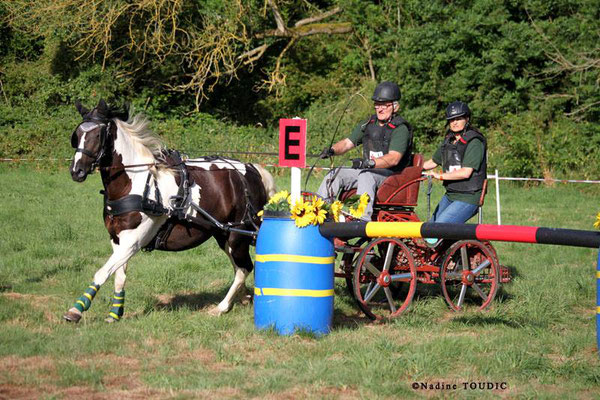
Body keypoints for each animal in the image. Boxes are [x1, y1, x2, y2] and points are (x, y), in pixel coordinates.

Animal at [62, 99, 274, 322]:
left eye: (97, 135)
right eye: (77, 135)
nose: (76, 171)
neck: (136, 183)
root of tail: (251, 169)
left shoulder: (133, 241)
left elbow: (102, 272)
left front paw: (76, 310)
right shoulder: (117, 240)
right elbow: (119, 276)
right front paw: (115, 312)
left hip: (237, 235)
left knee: (244, 268)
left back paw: (222, 307)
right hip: (223, 234)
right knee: (239, 266)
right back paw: (243, 297)